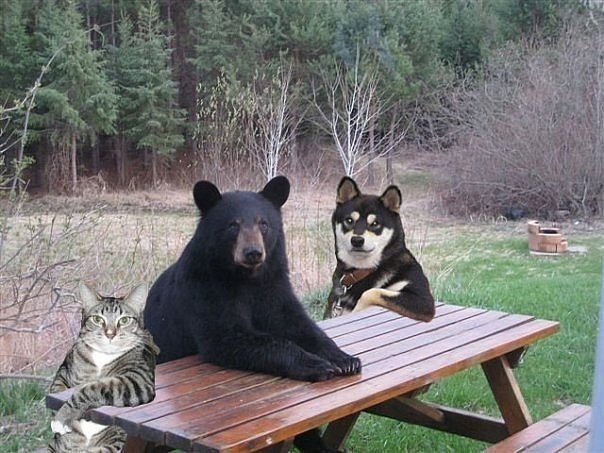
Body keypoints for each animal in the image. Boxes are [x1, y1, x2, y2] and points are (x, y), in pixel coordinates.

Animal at [48, 283, 159, 452]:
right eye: (97, 319)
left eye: (124, 320)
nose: (110, 334)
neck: (102, 357)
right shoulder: (65, 368)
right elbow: (58, 388)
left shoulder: (138, 380)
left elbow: (91, 388)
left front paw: (62, 417)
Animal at [144, 176, 361, 383]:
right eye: (233, 225)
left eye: (263, 223)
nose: (253, 252)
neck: (247, 277)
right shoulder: (205, 289)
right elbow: (228, 334)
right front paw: (317, 364)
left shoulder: (273, 284)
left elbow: (296, 322)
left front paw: (345, 359)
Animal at [324, 176, 435, 322]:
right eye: (349, 220)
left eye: (375, 223)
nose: (357, 240)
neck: (363, 271)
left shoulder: (423, 300)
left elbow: (371, 292)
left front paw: (357, 309)